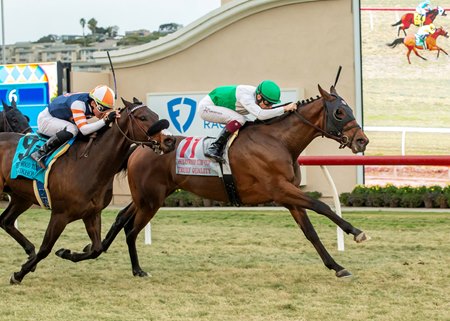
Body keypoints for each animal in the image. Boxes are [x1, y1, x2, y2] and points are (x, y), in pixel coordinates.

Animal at [0, 97, 176, 282]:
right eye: (142, 117)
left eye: (156, 115)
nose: (170, 141)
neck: (89, 163)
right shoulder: (60, 214)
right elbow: (45, 249)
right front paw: (19, 273)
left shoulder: (92, 213)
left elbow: (96, 249)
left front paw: (65, 252)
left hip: (21, 197)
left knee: (6, 221)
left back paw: (30, 251)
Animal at [77, 84, 370, 278]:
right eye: (340, 112)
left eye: (348, 109)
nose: (362, 140)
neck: (278, 141)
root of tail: (141, 147)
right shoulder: (280, 189)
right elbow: (322, 206)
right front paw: (356, 232)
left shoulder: (289, 196)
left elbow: (310, 232)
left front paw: (336, 266)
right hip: (151, 200)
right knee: (130, 229)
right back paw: (128, 265)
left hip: (147, 197)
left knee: (121, 220)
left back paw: (101, 254)